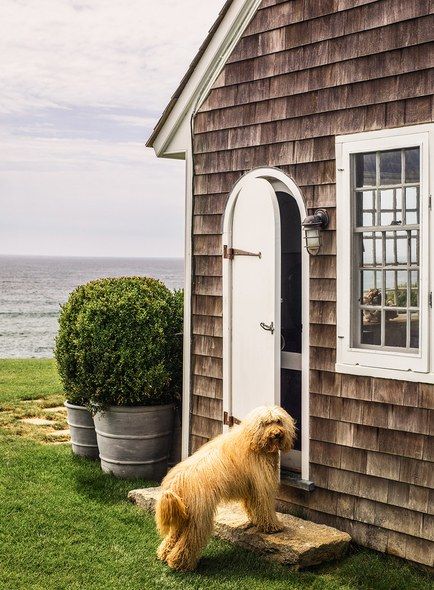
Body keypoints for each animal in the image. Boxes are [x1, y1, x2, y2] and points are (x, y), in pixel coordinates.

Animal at [155, 408, 294, 572]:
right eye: (266, 423)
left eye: (278, 421)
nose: (277, 433)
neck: (253, 441)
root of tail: (176, 483)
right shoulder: (262, 486)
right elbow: (265, 508)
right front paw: (273, 526)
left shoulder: (252, 487)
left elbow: (253, 506)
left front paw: (255, 520)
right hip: (198, 517)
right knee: (189, 541)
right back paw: (180, 563)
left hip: (183, 513)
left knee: (173, 536)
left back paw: (164, 554)